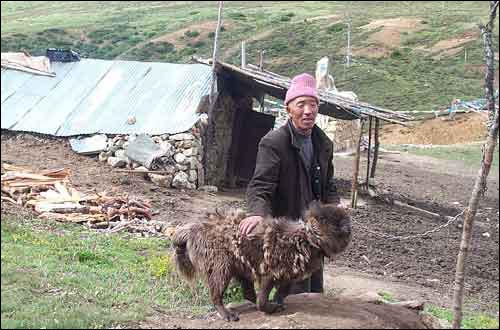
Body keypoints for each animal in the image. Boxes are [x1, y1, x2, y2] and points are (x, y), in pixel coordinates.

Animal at [173, 202, 352, 320]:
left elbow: (281, 293)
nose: (349, 227)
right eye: (337, 222)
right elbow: (263, 300)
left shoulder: (287, 275)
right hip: (221, 268)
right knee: (216, 295)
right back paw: (227, 314)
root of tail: (192, 229)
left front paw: (278, 304)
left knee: (247, 292)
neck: (307, 238)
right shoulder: (269, 273)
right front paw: (269, 307)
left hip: (241, 264)